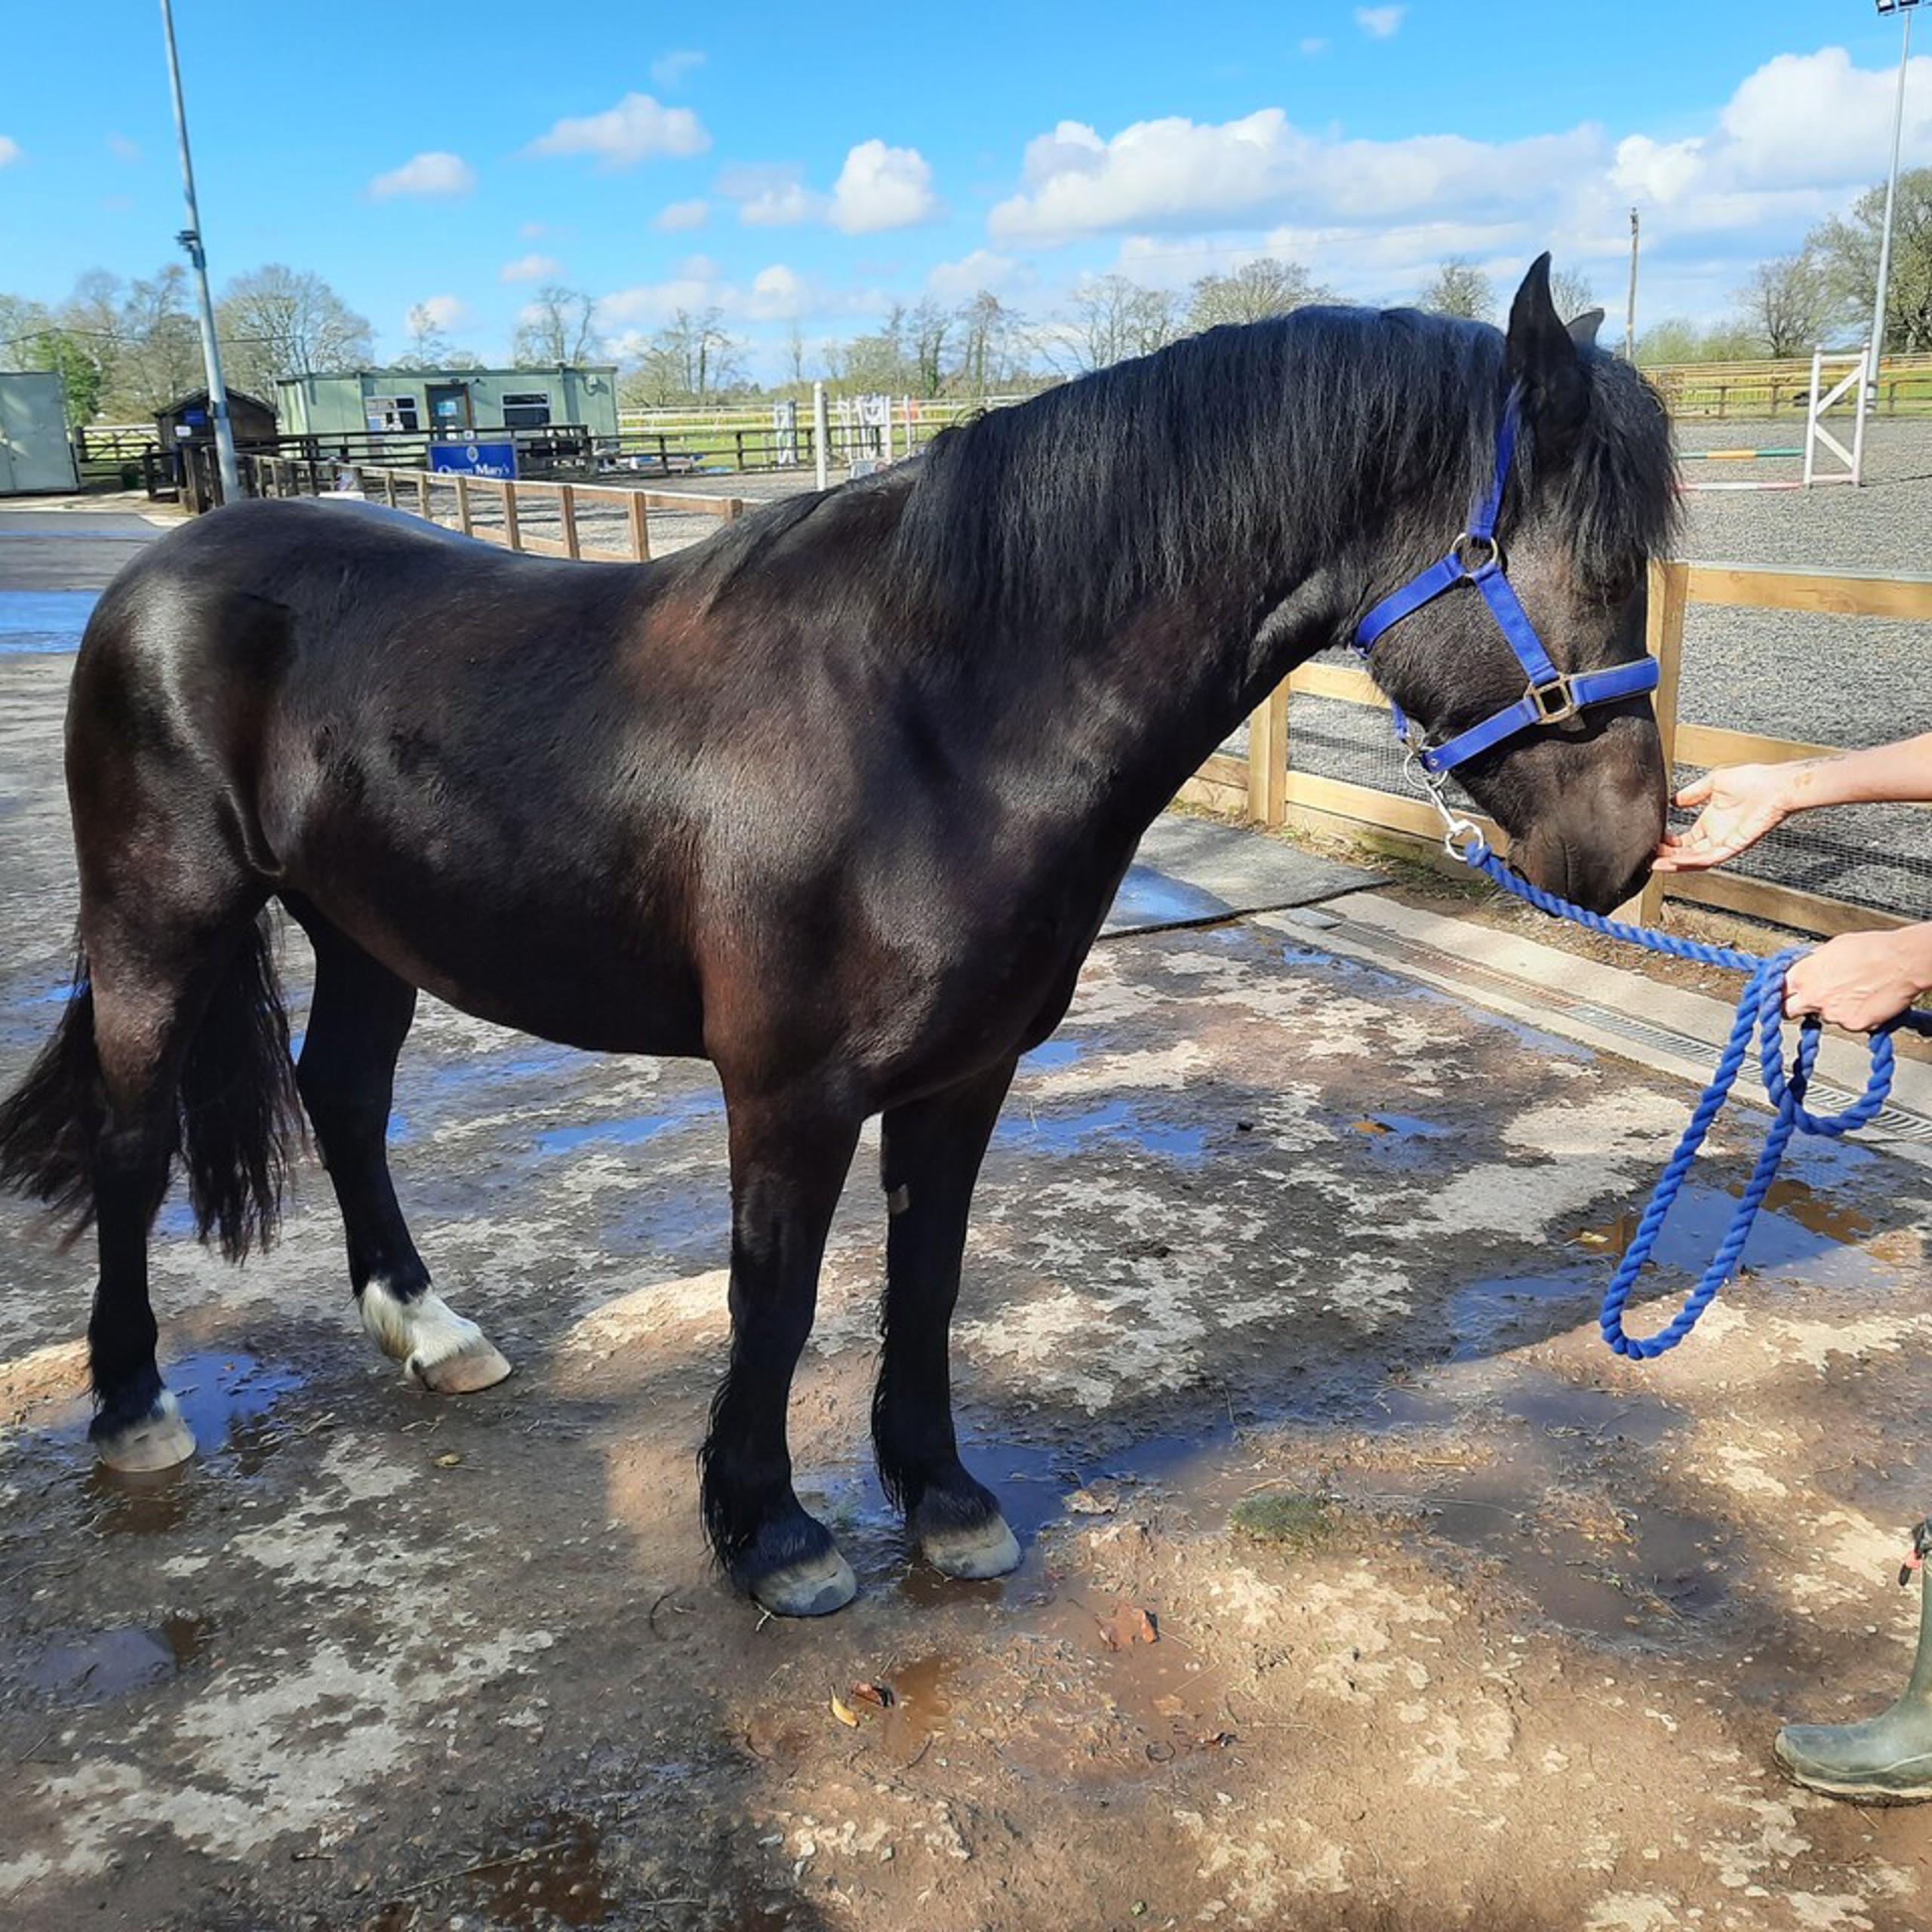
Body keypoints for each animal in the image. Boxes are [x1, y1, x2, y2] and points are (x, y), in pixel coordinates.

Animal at [0, 257, 1678, 1617]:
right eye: (1590, 561)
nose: (1626, 849)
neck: (931, 715)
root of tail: (158, 572)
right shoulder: (787, 1090)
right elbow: (779, 1292)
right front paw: (769, 1532)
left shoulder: (963, 1075)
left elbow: (923, 1278)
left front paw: (940, 1498)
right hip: (161, 920)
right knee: (136, 1134)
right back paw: (134, 1407)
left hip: (365, 932)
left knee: (343, 1095)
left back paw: (428, 1328)